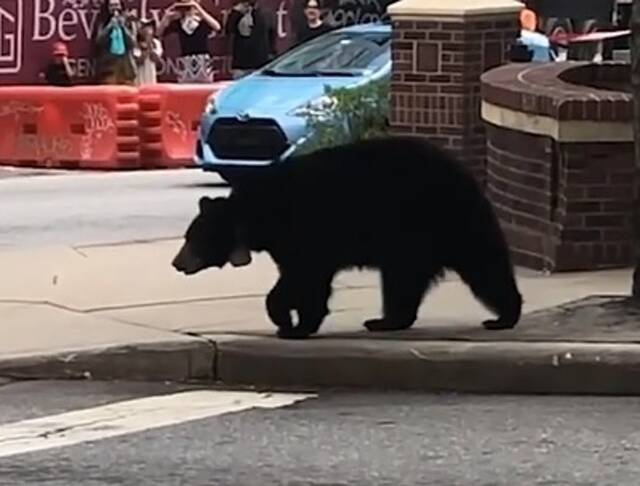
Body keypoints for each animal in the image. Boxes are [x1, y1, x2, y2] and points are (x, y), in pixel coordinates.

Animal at [172, 133, 524, 338]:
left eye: (191, 238)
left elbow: (303, 276)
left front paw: (288, 323)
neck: (256, 215)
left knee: (475, 264)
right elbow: (308, 280)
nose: (177, 263)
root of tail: (466, 175)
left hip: (431, 223)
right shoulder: (293, 242)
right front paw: (300, 322)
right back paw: (390, 320)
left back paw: (502, 316)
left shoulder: (302, 230)